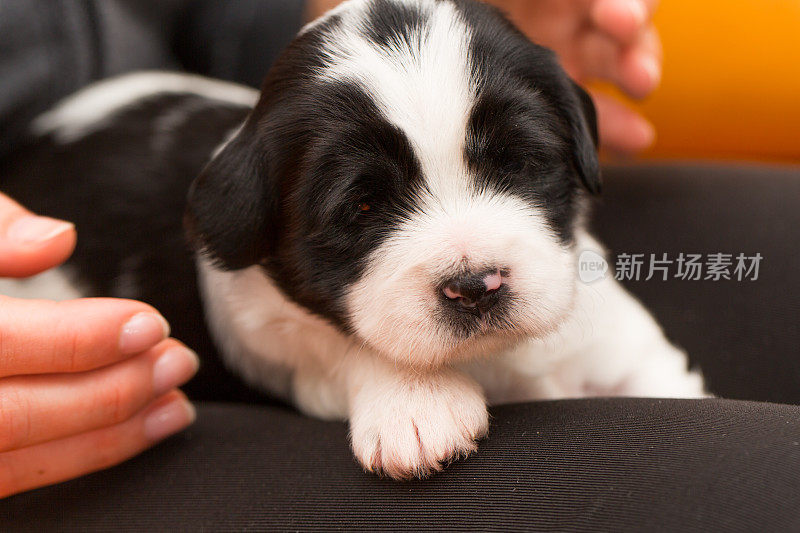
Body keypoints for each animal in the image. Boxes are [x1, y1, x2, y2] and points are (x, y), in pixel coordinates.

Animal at [1, 0, 700, 478]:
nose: (476, 287)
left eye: (519, 164)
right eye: (363, 208)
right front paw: (415, 401)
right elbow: (337, 343)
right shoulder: (262, 321)